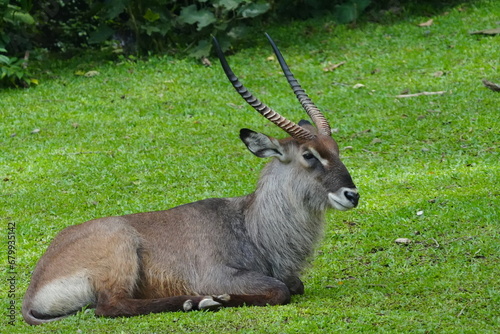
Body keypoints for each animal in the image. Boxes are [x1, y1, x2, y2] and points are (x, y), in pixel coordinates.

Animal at [22, 33, 360, 324]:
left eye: (336, 149)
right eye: (309, 155)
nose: (352, 195)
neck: (250, 225)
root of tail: (33, 289)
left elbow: (295, 285)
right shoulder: (218, 274)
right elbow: (280, 290)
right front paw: (219, 298)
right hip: (120, 246)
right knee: (110, 306)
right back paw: (197, 301)